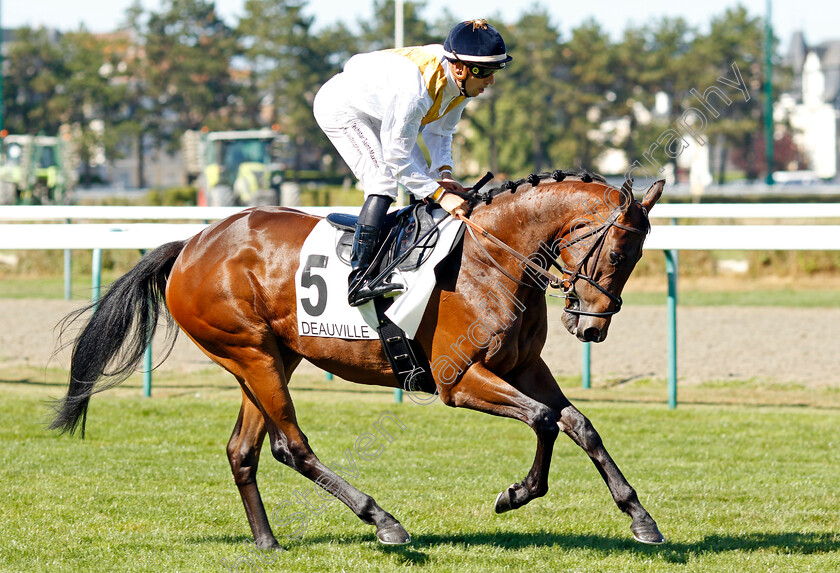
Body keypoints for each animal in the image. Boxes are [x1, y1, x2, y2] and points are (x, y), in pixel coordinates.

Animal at [50, 171, 668, 548]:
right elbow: (542, 420)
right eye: (618, 252)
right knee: (291, 446)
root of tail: (191, 245)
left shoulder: (522, 367)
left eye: (639, 255)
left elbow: (578, 424)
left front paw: (640, 517)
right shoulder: (459, 379)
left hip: (271, 357)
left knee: (244, 450)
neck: (493, 258)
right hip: (252, 354)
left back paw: (267, 540)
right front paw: (516, 494)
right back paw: (383, 520)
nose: (591, 327)